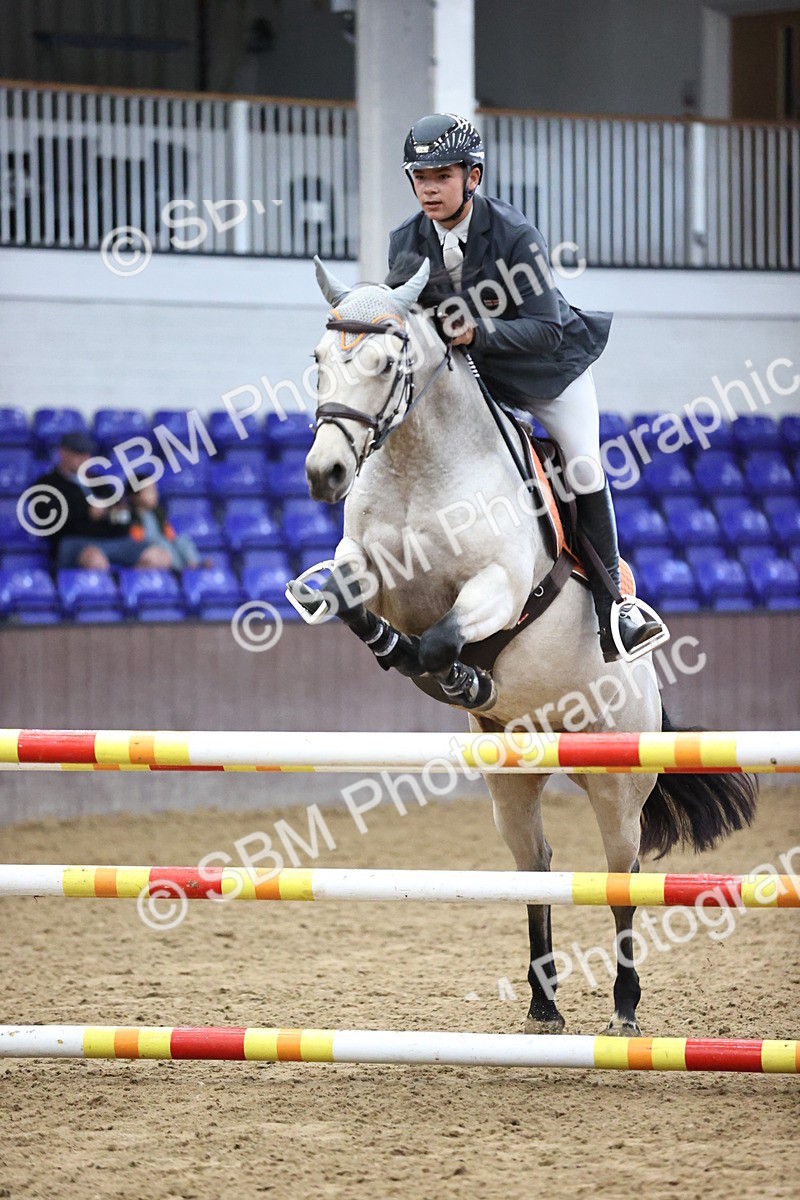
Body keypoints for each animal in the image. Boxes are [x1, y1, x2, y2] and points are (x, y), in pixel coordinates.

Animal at [300, 255, 758, 1036]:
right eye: (319, 361)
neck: (420, 465)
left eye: (387, 363)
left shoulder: (502, 584)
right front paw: (390, 642)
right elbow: (352, 603)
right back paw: (544, 1002)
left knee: (620, 875)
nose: (325, 472)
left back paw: (624, 1006)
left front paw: (461, 677)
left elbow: (441, 640)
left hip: (618, 781)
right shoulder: (369, 566)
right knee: (537, 865)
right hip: (512, 781)